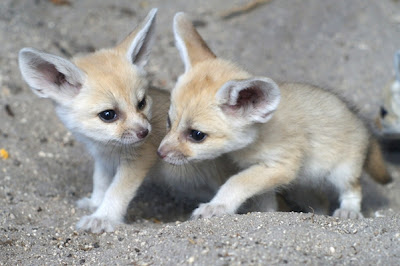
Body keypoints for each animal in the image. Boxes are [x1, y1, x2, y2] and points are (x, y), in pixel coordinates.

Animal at [18, 9, 234, 233]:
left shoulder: (138, 159)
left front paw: (103, 217)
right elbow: (101, 182)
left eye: (141, 103)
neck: (108, 148)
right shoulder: (103, 159)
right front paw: (95, 203)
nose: (145, 132)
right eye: (108, 115)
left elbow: (116, 190)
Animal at [158, 12, 392, 219]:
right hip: (302, 184)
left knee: (353, 188)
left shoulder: (280, 165)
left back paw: (349, 211)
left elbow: (237, 181)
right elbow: (263, 200)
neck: (258, 136)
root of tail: (361, 121)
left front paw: (217, 206)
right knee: (321, 200)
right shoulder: (266, 172)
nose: (160, 153)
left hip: (342, 172)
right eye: (169, 122)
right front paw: (267, 215)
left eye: (197, 135)